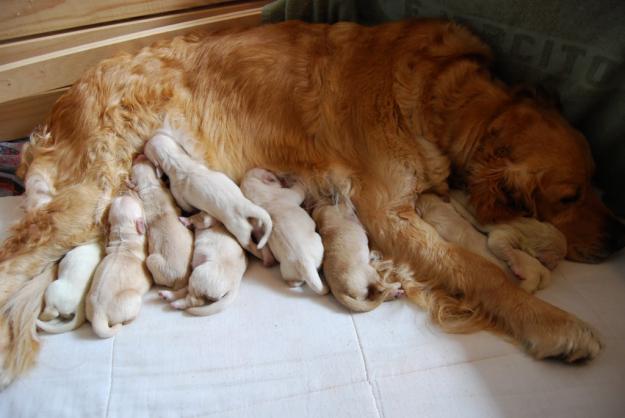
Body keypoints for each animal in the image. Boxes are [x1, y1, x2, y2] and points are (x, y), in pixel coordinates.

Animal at [146, 121, 272, 251]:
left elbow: (186, 206)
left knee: (250, 245)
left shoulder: (178, 195)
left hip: (240, 230)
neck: (175, 160)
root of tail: (244, 205)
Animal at [239, 168, 326, 296]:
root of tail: (304, 263)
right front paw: (299, 179)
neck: (257, 193)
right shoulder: (289, 193)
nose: (275, 171)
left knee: (294, 282)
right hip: (318, 242)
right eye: (269, 170)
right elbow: (299, 190)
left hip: (287, 271)